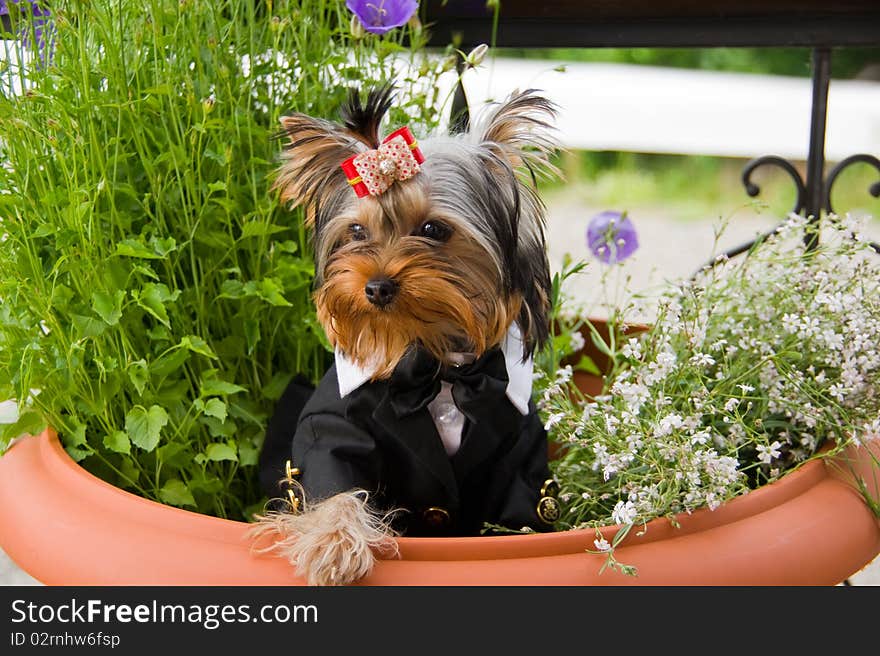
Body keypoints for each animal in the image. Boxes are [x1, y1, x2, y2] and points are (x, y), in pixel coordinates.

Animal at [251, 83, 560, 584]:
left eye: (433, 229)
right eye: (357, 232)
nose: (376, 286)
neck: (435, 364)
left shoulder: (521, 450)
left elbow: (521, 515)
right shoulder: (332, 426)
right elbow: (332, 482)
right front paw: (334, 544)